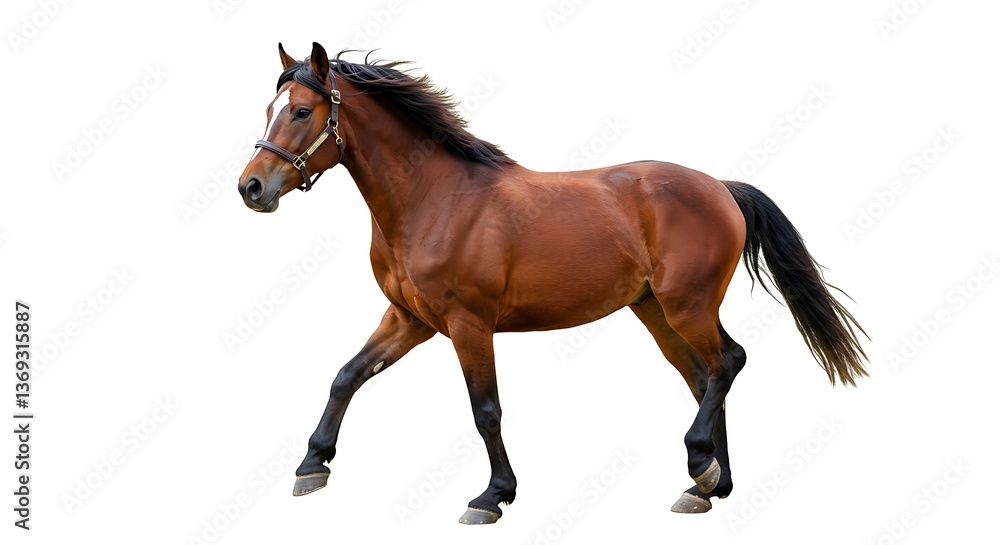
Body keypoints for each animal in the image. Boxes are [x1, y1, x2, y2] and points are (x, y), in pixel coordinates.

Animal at [237, 42, 868, 524]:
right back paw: (708, 485)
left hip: (686, 306)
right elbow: (346, 376)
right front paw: (312, 465)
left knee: (728, 363)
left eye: (301, 112)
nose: (251, 188)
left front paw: (493, 497)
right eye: (269, 107)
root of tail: (721, 187)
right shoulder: (410, 319)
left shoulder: (468, 325)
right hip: (656, 312)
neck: (434, 200)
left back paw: (700, 466)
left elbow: (485, 410)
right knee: (703, 376)